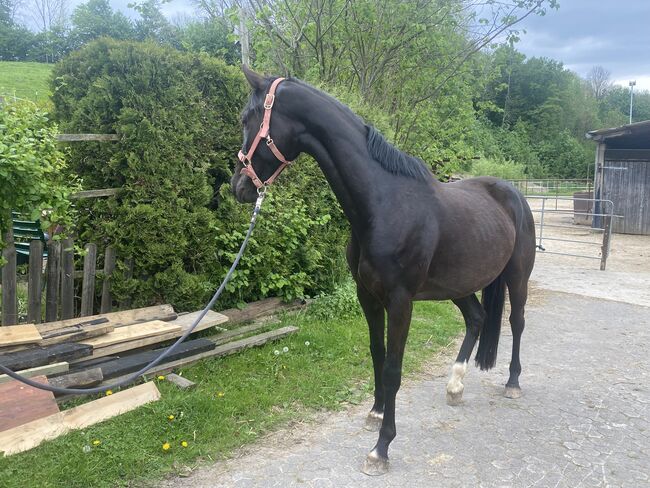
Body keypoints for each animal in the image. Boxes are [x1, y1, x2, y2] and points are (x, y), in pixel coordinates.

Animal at [230, 66, 536, 474]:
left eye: (247, 119)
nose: (239, 186)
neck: (383, 204)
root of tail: (513, 192)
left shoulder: (401, 301)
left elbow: (393, 368)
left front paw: (382, 447)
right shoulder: (368, 295)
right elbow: (377, 352)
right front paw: (375, 413)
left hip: (518, 277)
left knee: (516, 322)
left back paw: (513, 383)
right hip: (458, 285)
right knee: (477, 318)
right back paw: (454, 385)